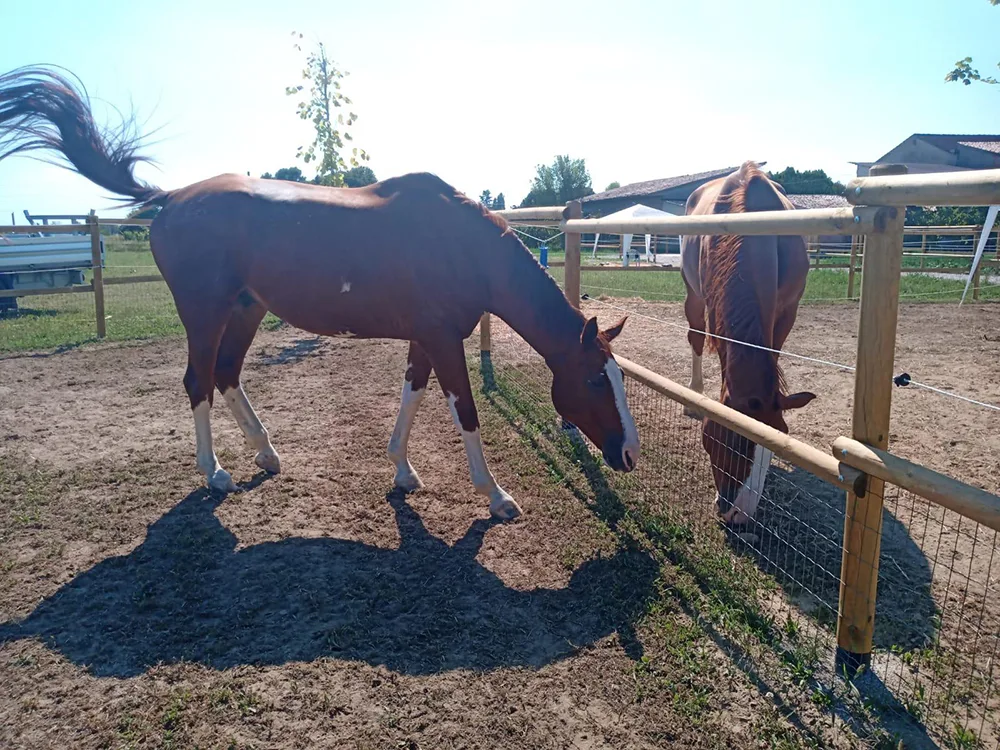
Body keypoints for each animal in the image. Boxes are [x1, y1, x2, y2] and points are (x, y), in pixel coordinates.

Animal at [0, 66, 640, 521]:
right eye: (592, 380)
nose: (629, 454)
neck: (459, 244)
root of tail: (172, 196)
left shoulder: (425, 340)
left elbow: (411, 397)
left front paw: (402, 471)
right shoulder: (444, 341)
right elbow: (466, 411)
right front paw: (496, 496)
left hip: (246, 310)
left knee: (226, 374)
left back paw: (266, 454)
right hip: (204, 315)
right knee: (198, 381)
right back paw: (214, 473)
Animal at [679, 162, 815, 526]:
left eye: (779, 438)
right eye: (728, 440)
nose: (738, 514)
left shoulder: (787, 311)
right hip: (693, 294)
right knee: (695, 336)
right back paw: (694, 395)